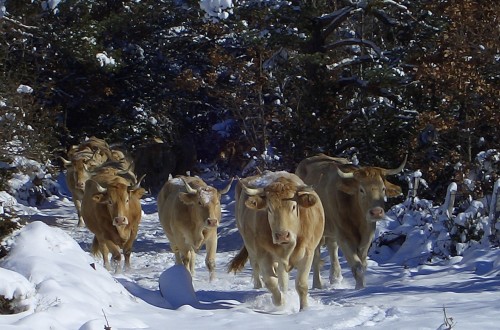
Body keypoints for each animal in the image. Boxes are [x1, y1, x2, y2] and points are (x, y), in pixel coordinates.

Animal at [229, 171, 326, 310]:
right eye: (269, 208)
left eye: (293, 206)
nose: (282, 235)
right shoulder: (263, 254)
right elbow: (271, 282)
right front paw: (281, 305)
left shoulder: (308, 252)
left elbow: (301, 284)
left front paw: (304, 309)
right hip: (251, 247)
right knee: (257, 267)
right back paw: (259, 287)